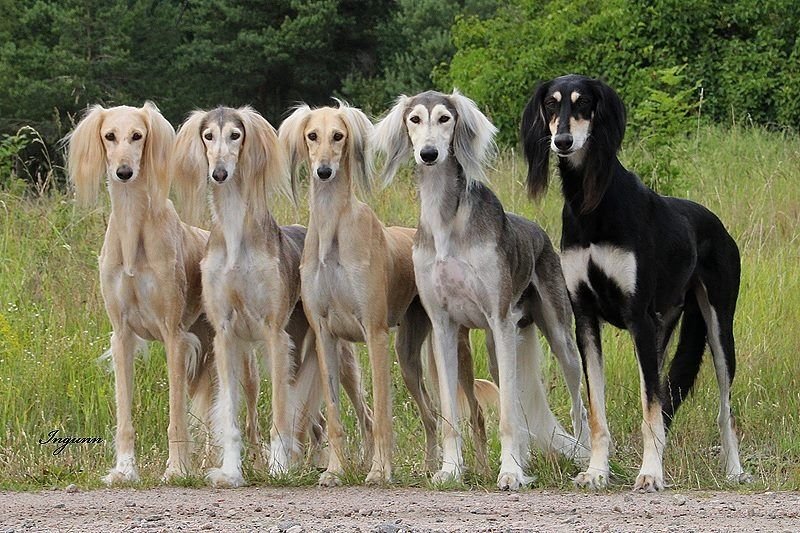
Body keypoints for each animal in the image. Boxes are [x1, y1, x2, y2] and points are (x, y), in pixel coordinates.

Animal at [172, 105, 338, 486]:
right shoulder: (224, 336)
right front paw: (231, 471)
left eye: (235, 135)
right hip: (252, 364)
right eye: (208, 136)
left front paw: (279, 468)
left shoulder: (276, 335)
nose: (219, 173)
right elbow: (231, 417)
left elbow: (280, 413)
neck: (236, 237)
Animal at [278, 101, 496, 486]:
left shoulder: (374, 332)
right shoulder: (325, 336)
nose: (324, 171)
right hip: (407, 356)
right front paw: (335, 470)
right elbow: (334, 415)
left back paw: (481, 470)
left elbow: (380, 413)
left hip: (453, 349)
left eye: (339, 136)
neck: (333, 230)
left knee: (472, 413)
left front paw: (380, 471)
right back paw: (430, 466)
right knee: (430, 415)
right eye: (312, 135)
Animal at [374, 91, 588, 490]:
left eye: (445, 119)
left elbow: (506, 416)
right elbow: (451, 414)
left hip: (555, 336)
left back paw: (586, 456)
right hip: (494, 347)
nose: (429, 154)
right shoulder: (443, 327)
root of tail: (538, 231)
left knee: (577, 404)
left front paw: (510, 473)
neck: (446, 221)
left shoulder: (499, 318)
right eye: (414, 119)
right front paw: (451, 469)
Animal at [520, 75, 748, 490]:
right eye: (551, 104)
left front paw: (650, 473)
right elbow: (598, 411)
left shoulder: (638, 317)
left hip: (719, 325)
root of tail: (717, 224)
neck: (590, 204)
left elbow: (650, 406)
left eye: (583, 103)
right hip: (664, 329)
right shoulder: (586, 318)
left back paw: (735, 470)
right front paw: (596, 472)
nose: (563, 141)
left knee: (725, 407)